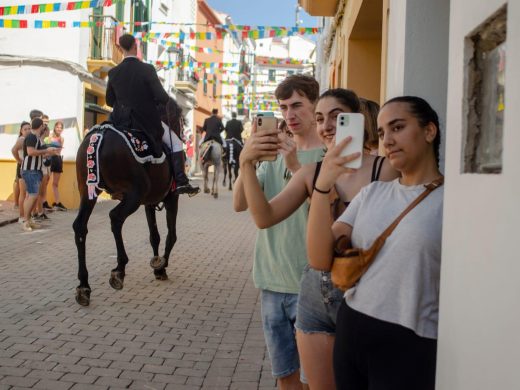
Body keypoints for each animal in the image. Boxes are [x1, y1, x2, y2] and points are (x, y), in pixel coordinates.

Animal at [72, 100, 183, 304]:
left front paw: (157, 265)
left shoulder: (150, 202)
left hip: (88, 192)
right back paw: (119, 270)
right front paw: (161, 267)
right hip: (134, 195)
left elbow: (154, 236)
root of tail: (100, 135)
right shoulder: (172, 198)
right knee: (115, 217)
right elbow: (171, 236)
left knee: (80, 227)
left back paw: (84, 285)